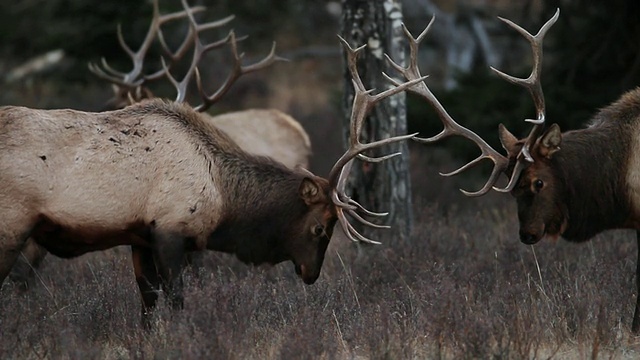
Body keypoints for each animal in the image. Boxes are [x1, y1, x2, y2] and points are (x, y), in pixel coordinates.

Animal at [1, 0, 424, 326]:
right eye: (320, 227)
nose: (310, 274)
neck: (224, 195)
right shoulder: (171, 229)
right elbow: (176, 300)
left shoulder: (140, 236)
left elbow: (147, 305)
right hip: (13, 224)